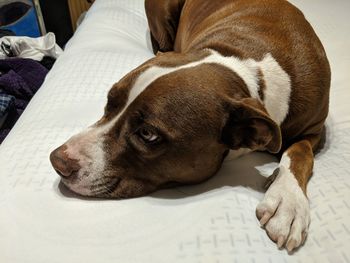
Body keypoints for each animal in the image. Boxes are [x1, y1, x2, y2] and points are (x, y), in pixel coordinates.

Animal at [50, 0, 330, 253]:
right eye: (109, 101)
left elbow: (299, 151)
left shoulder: (316, 129)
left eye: (147, 134)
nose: (58, 160)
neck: (246, 73)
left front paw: (288, 199)